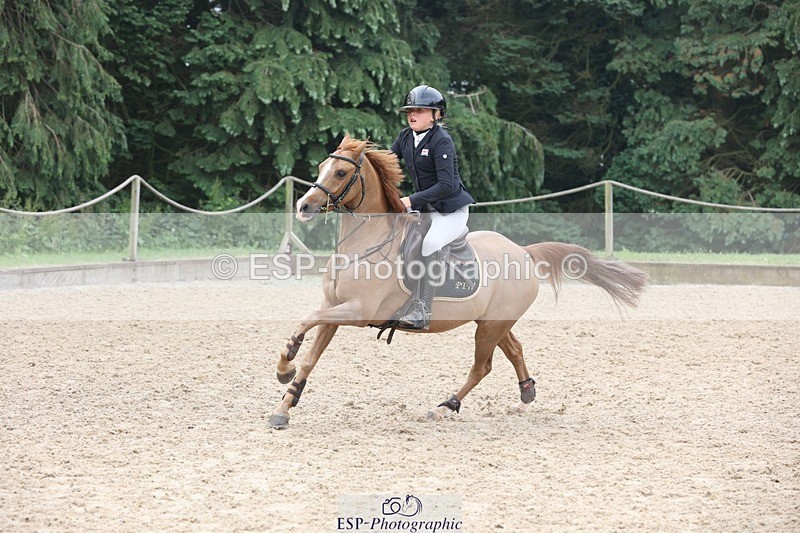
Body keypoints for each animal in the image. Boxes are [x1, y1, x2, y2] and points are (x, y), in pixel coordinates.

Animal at [268, 133, 648, 428]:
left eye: (342, 172)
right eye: (321, 167)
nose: (303, 206)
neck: (365, 244)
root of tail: (524, 252)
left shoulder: (358, 311)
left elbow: (306, 321)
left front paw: (286, 366)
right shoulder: (334, 309)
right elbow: (310, 354)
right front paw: (285, 397)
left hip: (490, 327)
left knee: (482, 367)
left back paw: (444, 407)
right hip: (494, 321)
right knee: (514, 350)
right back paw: (525, 397)